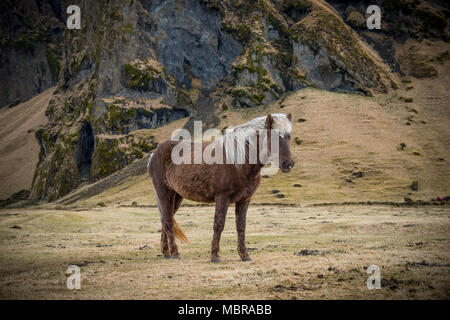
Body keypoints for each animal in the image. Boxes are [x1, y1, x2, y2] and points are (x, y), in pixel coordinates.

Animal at [149, 114, 296, 262]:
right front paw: (215, 256)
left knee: (165, 220)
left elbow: (241, 226)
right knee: (168, 221)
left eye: (288, 136)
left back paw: (166, 253)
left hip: (177, 196)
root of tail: (155, 153)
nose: (288, 164)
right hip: (165, 194)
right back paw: (175, 254)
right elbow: (218, 225)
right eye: (275, 136)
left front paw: (245, 255)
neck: (238, 161)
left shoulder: (244, 200)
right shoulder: (222, 197)